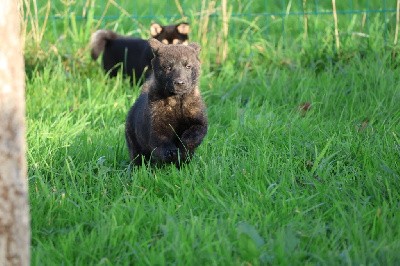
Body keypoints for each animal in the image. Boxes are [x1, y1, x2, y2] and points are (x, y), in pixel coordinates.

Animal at [124, 38, 206, 166]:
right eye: (168, 67)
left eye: (188, 66)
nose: (179, 82)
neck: (177, 100)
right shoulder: (157, 121)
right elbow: (160, 139)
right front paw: (170, 152)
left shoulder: (197, 115)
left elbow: (197, 129)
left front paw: (185, 141)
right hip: (134, 141)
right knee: (138, 157)